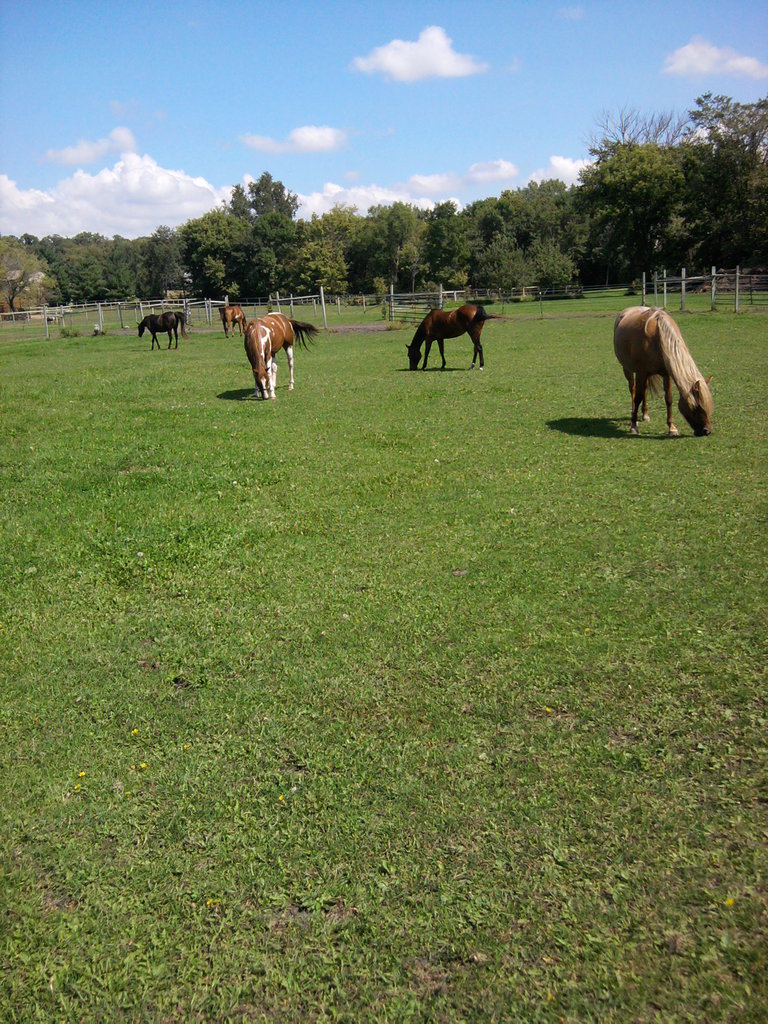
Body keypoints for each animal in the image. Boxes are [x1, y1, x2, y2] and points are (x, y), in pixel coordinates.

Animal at [613, 306, 713, 437]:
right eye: (696, 408)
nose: (706, 431)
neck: (657, 337)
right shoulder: (641, 372)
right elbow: (638, 397)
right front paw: (633, 426)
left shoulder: (666, 374)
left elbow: (668, 399)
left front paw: (672, 428)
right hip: (628, 369)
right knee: (633, 390)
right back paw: (633, 415)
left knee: (644, 389)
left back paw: (645, 415)